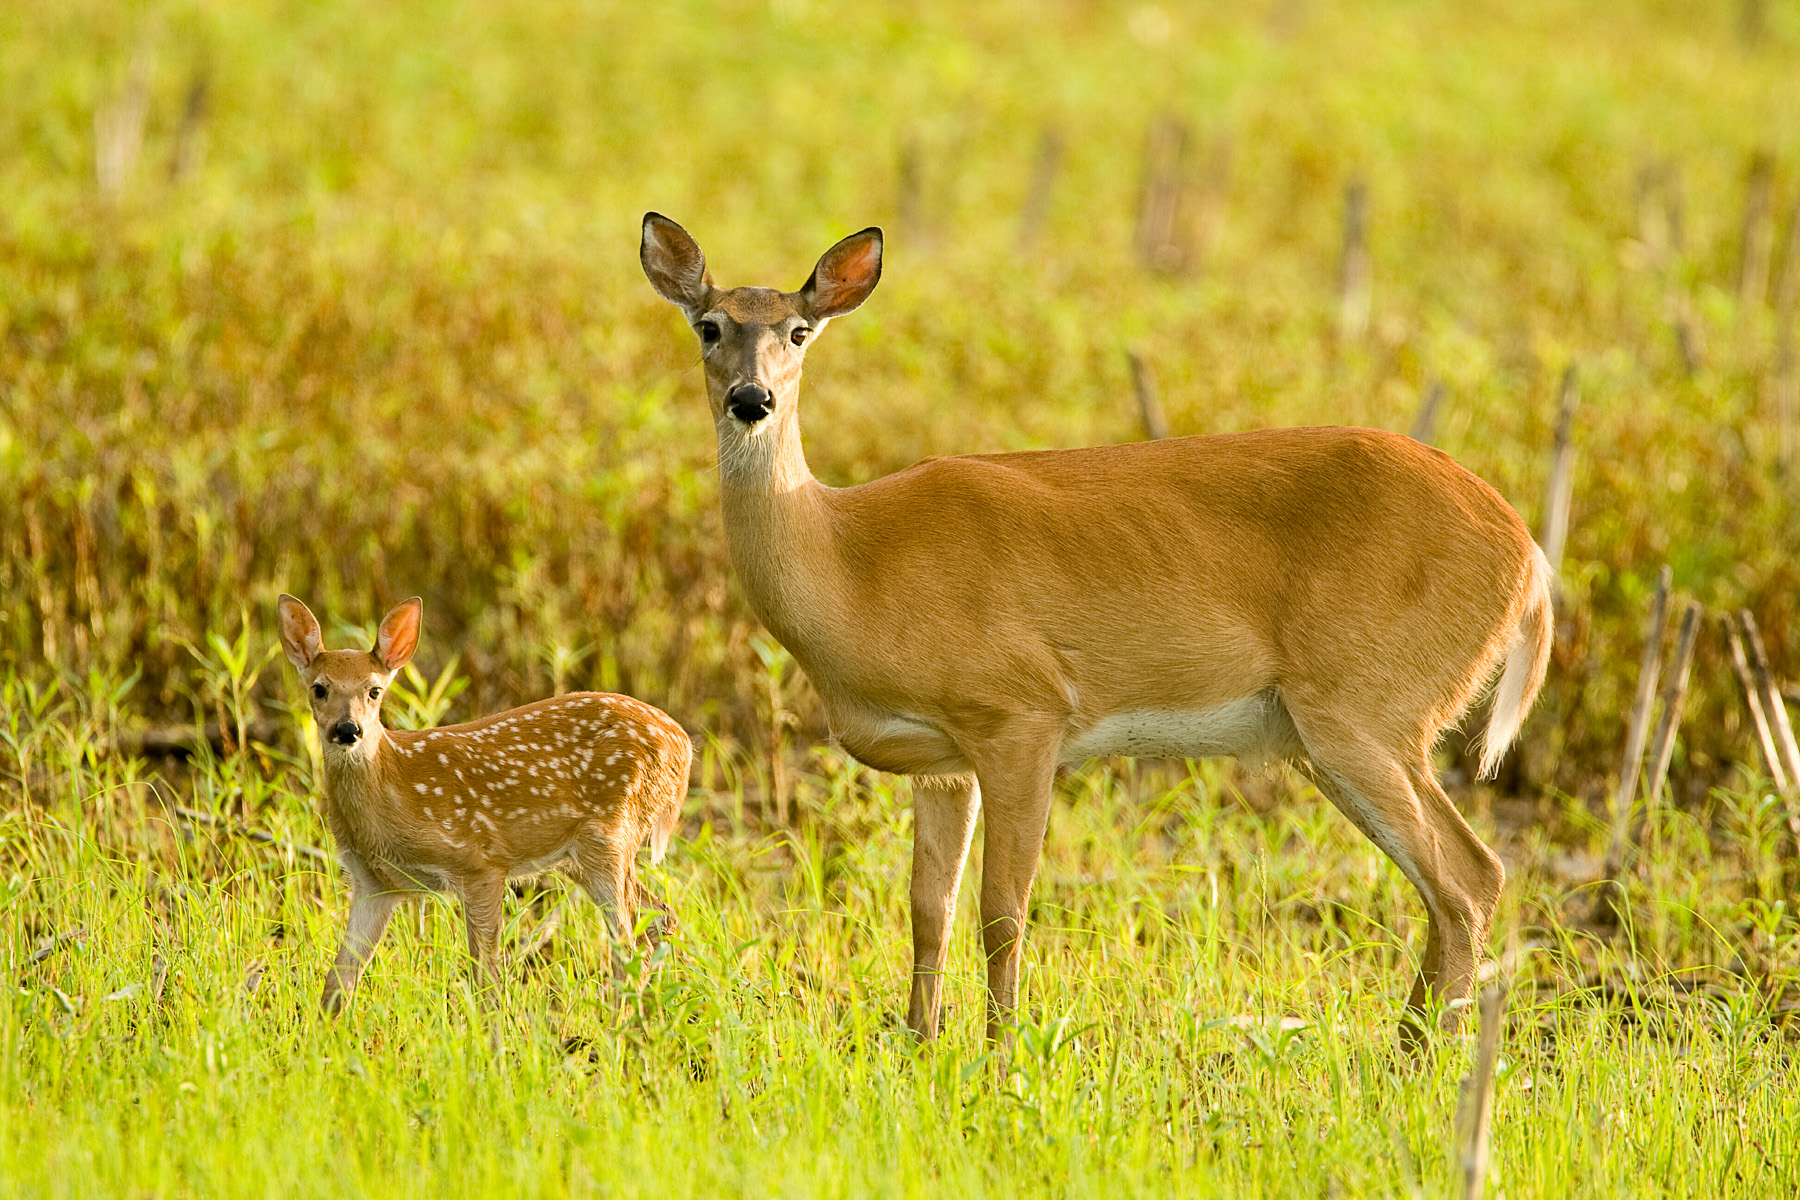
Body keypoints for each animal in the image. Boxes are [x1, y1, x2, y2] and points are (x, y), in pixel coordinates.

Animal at [640, 215, 1555, 1050]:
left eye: (798, 331)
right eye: (709, 325)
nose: (751, 400)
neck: (850, 561)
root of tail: (1529, 558)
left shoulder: (1021, 711)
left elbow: (1003, 909)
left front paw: (1001, 1055)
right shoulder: (940, 760)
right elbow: (929, 908)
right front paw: (920, 1045)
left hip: (1366, 705)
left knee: (1471, 877)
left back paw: (1420, 1062)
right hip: (1337, 731)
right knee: (1451, 886)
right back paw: (1407, 1050)